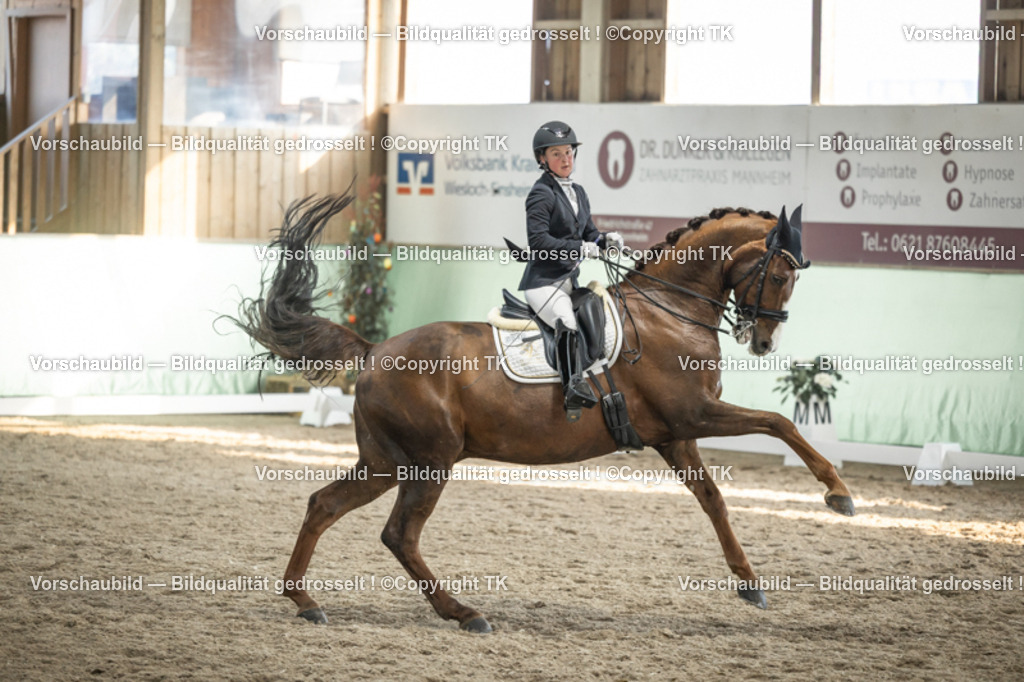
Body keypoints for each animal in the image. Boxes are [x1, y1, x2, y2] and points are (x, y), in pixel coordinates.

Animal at [232, 193, 855, 634]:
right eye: (781, 275)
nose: (764, 342)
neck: (669, 310)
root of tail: (374, 351)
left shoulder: (676, 434)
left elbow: (715, 500)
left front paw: (749, 582)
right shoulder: (697, 415)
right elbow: (780, 423)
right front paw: (838, 494)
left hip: (387, 461)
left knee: (325, 505)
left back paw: (305, 601)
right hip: (428, 461)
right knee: (399, 534)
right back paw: (464, 613)